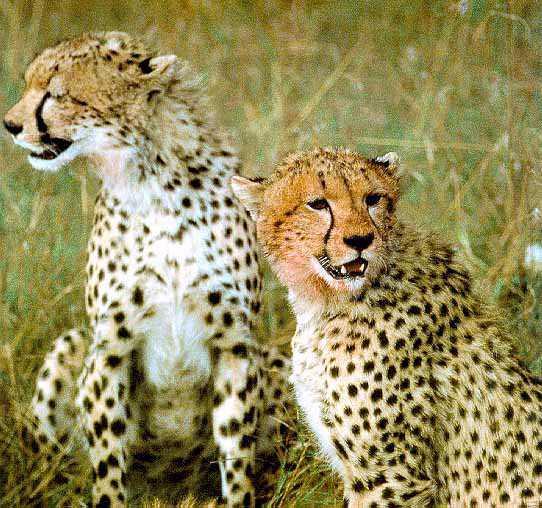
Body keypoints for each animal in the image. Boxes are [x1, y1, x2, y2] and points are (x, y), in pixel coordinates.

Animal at [4, 32, 293, 508]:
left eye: (57, 95)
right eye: (29, 85)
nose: (9, 125)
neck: (154, 183)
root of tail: (169, 489)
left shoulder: (234, 345)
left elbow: (237, 453)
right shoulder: (109, 349)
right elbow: (107, 461)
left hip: (273, 360)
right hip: (70, 347)